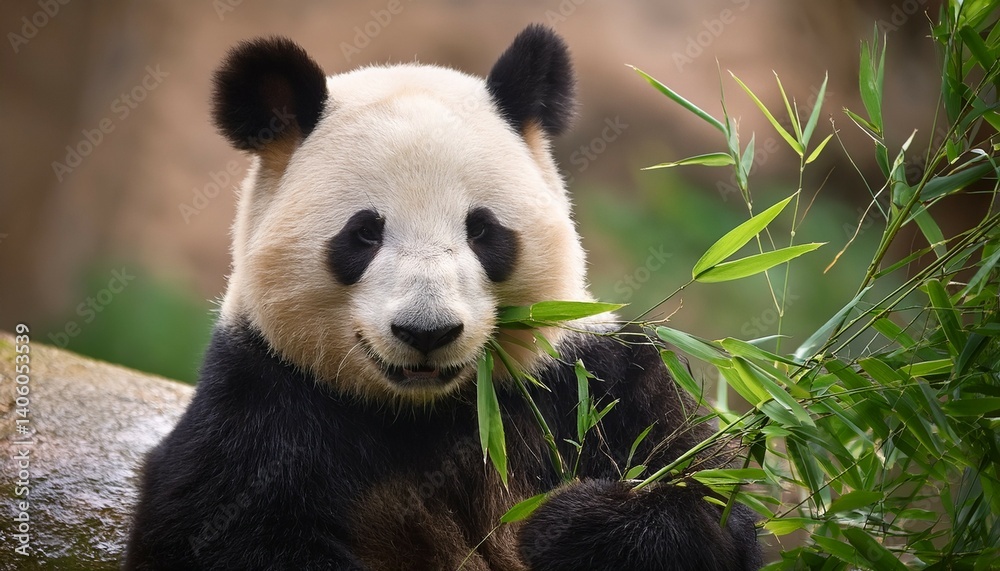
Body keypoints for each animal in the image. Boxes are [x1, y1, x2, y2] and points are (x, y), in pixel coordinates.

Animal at [124, 25, 763, 571]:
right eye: (364, 233)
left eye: (482, 231)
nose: (426, 332)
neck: (431, 409)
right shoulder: (264, 399)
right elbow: (221, 527)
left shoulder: (590, 377)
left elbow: (703, 495)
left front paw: (574, 525)